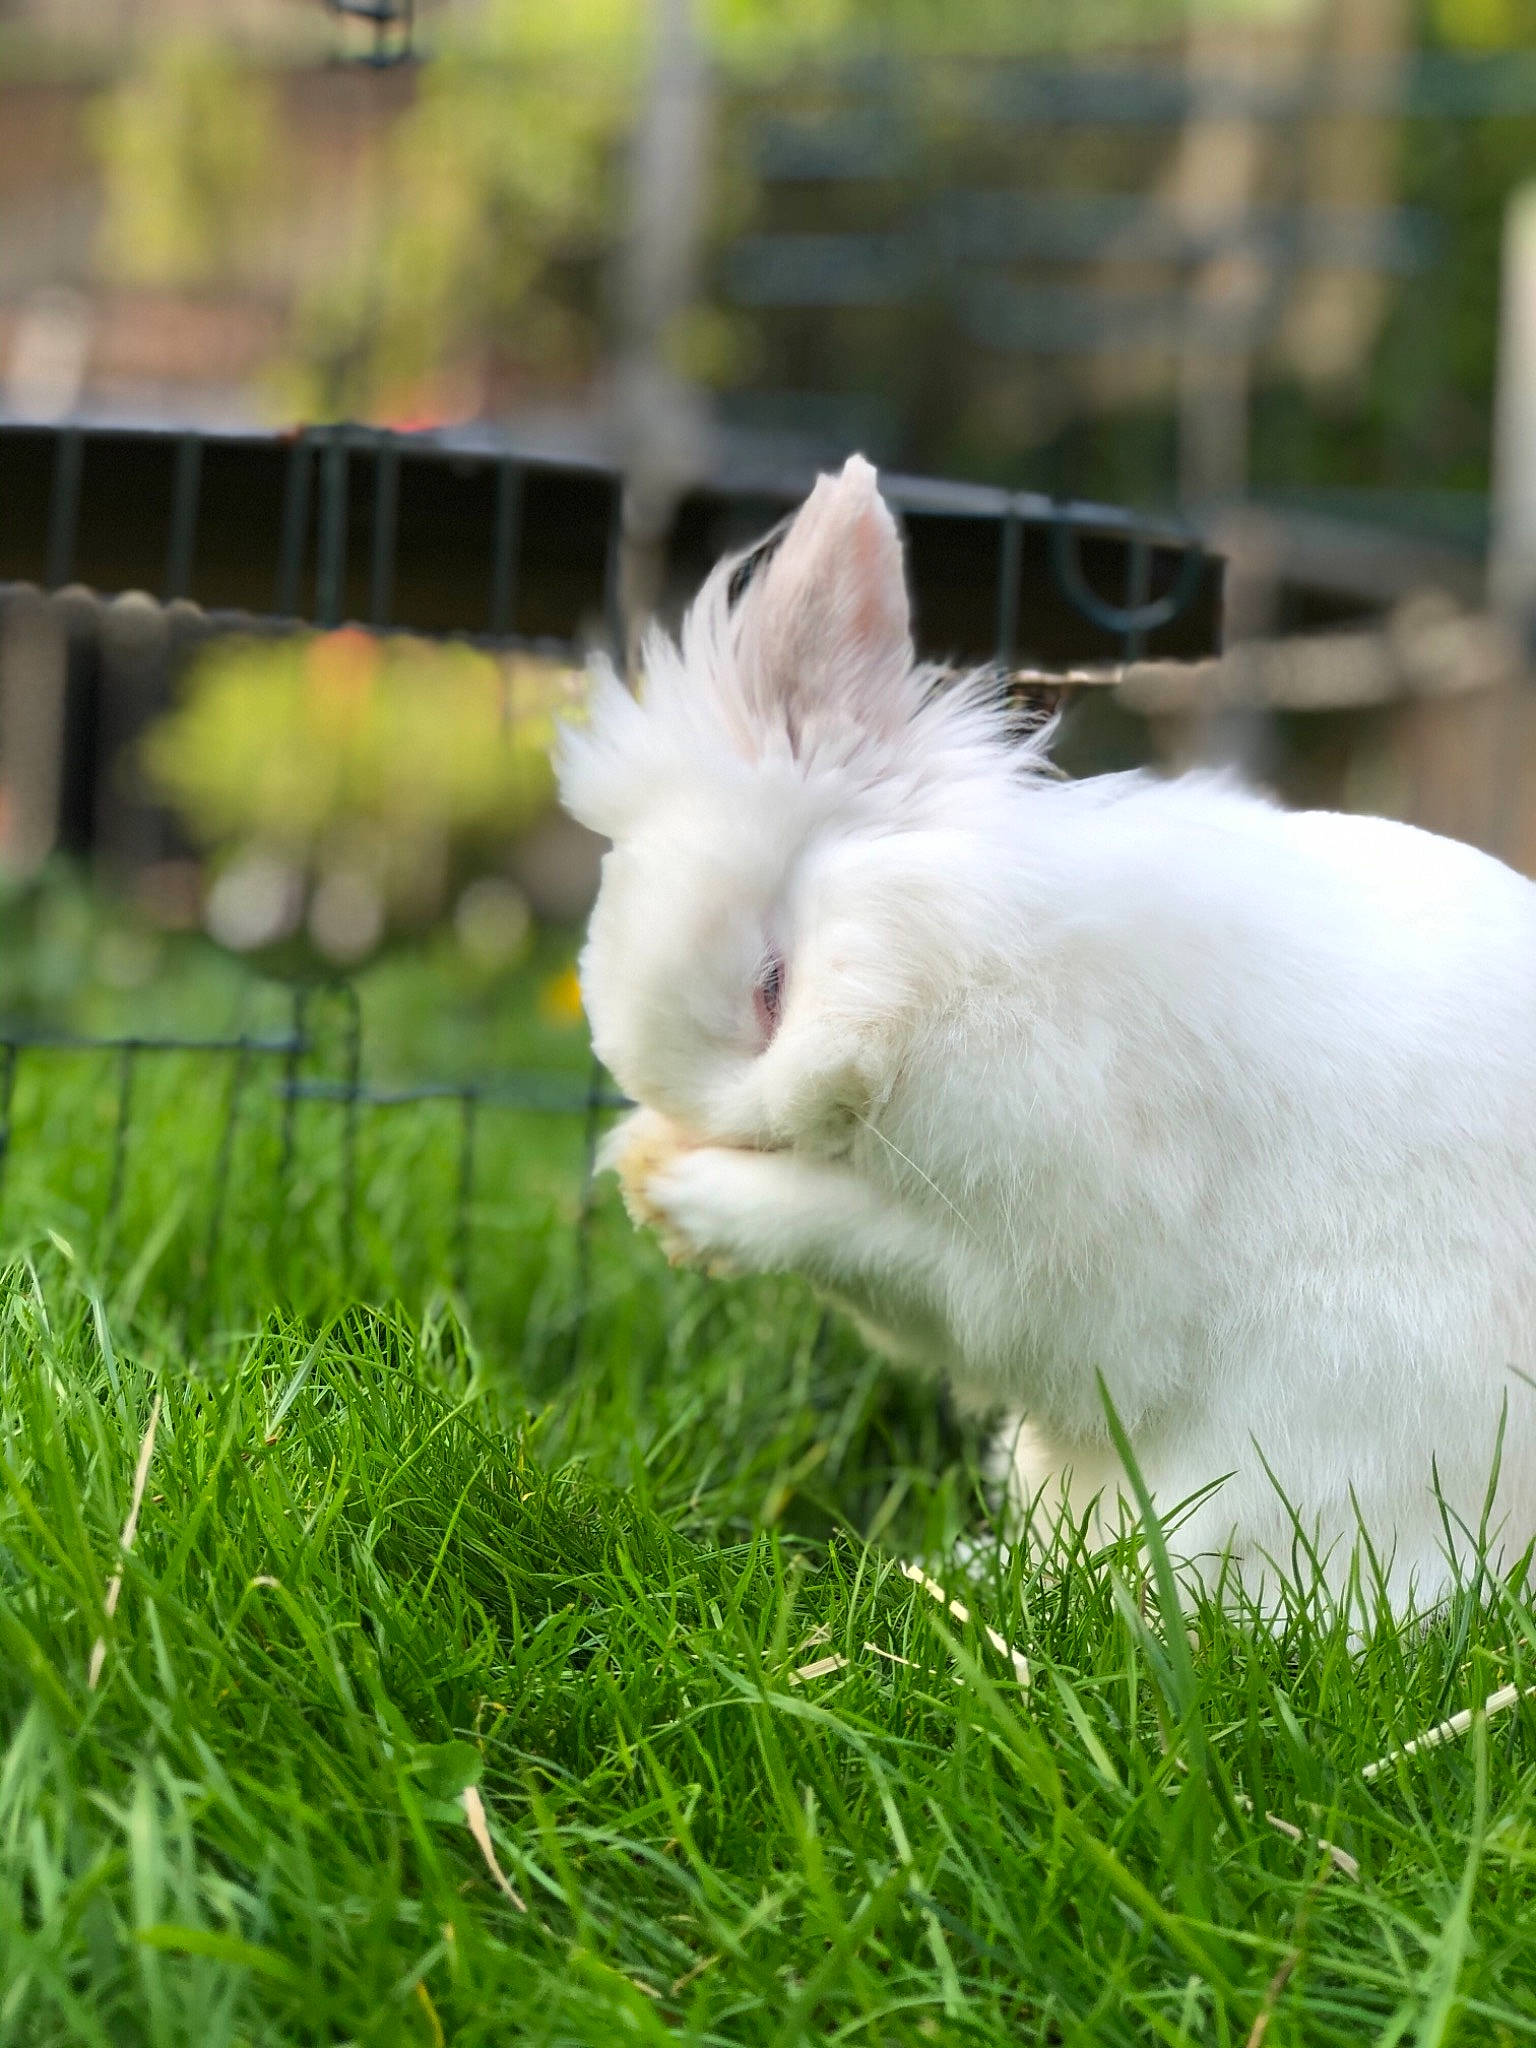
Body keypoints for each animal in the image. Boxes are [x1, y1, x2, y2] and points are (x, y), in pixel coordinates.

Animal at [556, 453, 1536, 1615]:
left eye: (773, 987)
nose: (770, 1129)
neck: (957, 954)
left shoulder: (1049, 1254)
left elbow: (864, 1242)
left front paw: (692, 1195)